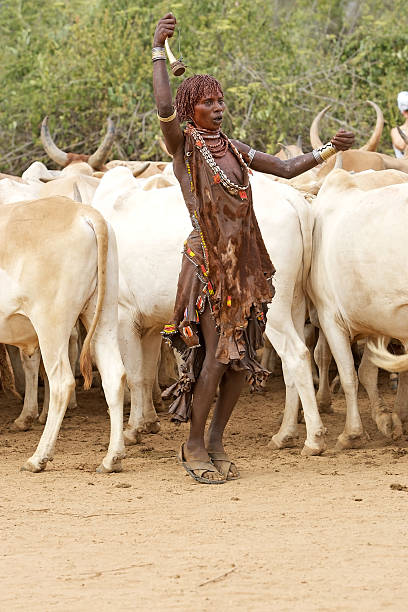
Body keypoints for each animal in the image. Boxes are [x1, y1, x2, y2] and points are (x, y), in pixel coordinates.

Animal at [0, 196, 125, 474]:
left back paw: (39, 457)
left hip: (51, 322)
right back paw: (112, 458)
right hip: (103, 314)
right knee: (115, 375)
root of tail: (83, 211)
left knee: (62, 382)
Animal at [91, 167, 326, 454]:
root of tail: (292, 199)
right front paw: (148, 422)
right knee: (293, 363)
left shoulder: (124, 316)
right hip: (294, 303)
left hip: (275, 311)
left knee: (298, 356)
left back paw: (313, 438)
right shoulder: (149, 326)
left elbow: (134, 376)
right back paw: (285, 433)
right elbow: (146, 375)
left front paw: (133, 429)